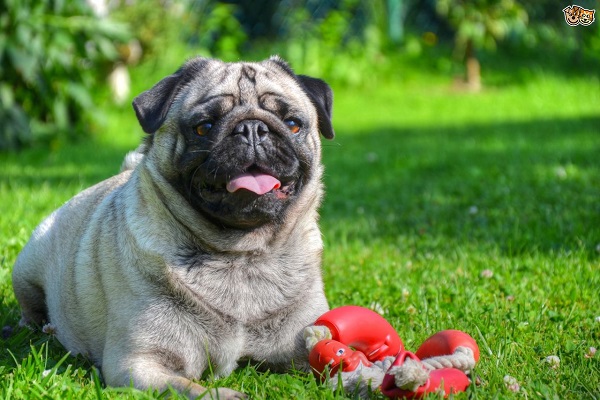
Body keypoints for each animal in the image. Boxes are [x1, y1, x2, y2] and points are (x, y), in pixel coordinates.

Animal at [10, 57, 332, 400]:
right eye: (204, 127)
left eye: (293, 124)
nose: (252, 128)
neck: (241, 254)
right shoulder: (138, 363)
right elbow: (193, 390)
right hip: (26, 270)